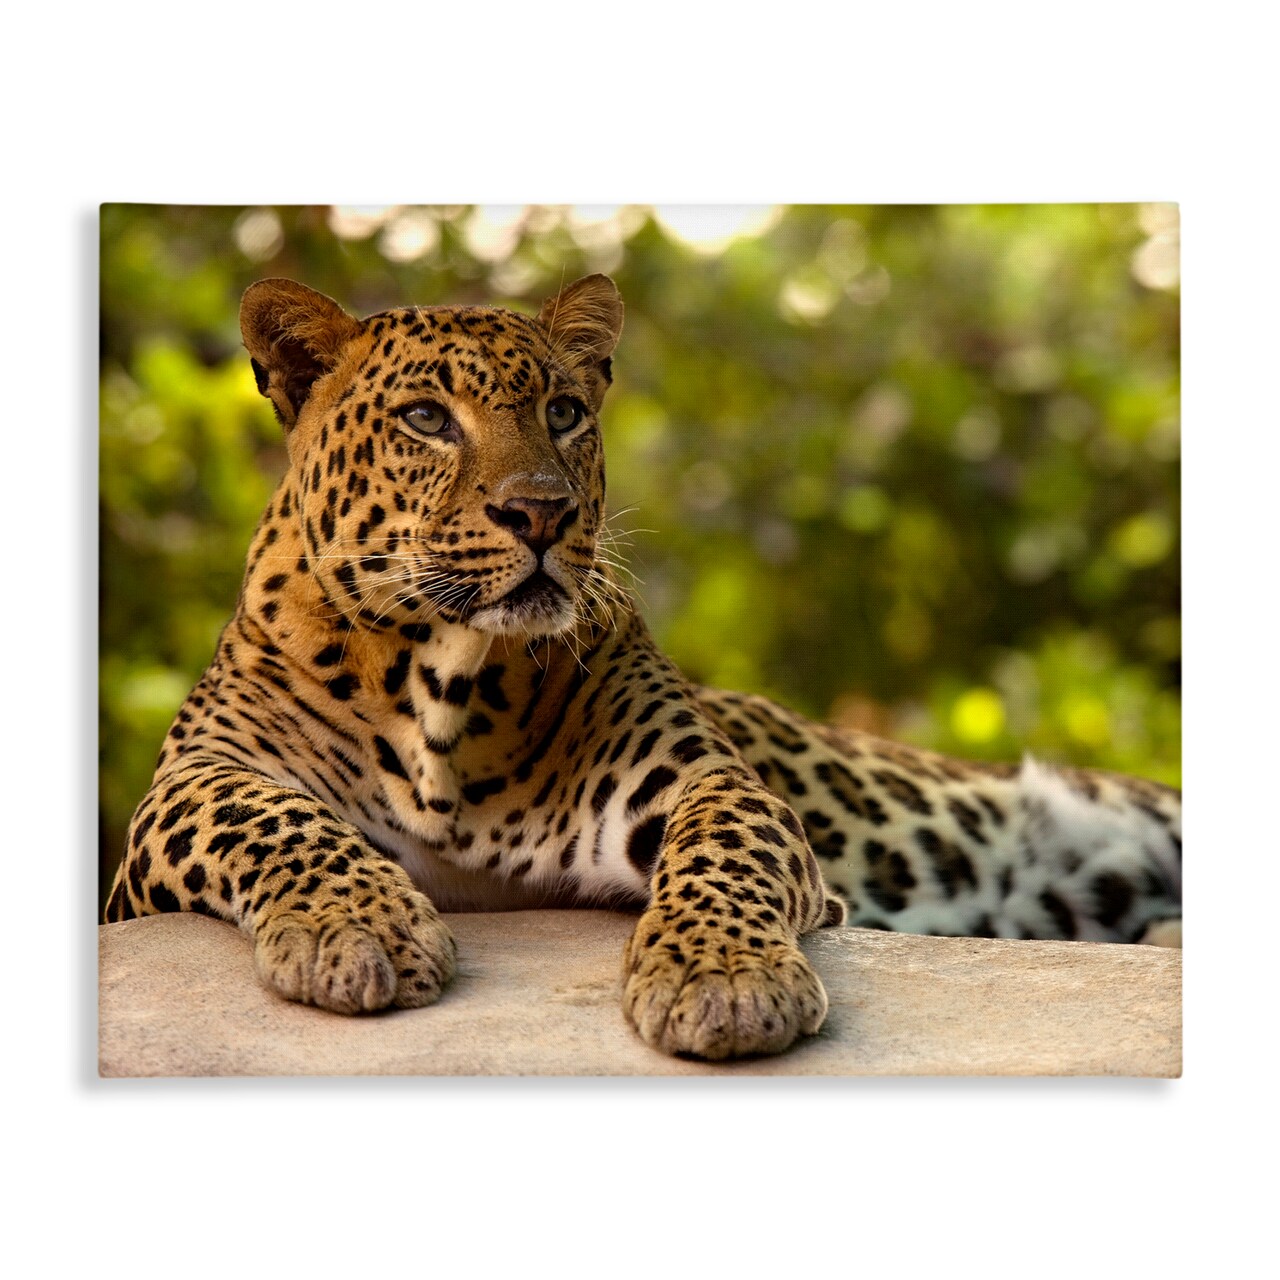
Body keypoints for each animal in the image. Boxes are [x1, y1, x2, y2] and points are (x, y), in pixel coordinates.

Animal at [104, 273, 1183, 1061]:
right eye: (425, 418)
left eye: (564, 411)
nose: (541, 513)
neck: (443, 682)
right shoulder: (182, 792)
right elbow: (269, 816)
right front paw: (357, 927)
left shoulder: (699, 778)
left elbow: (722, 851)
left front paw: (723, 979)